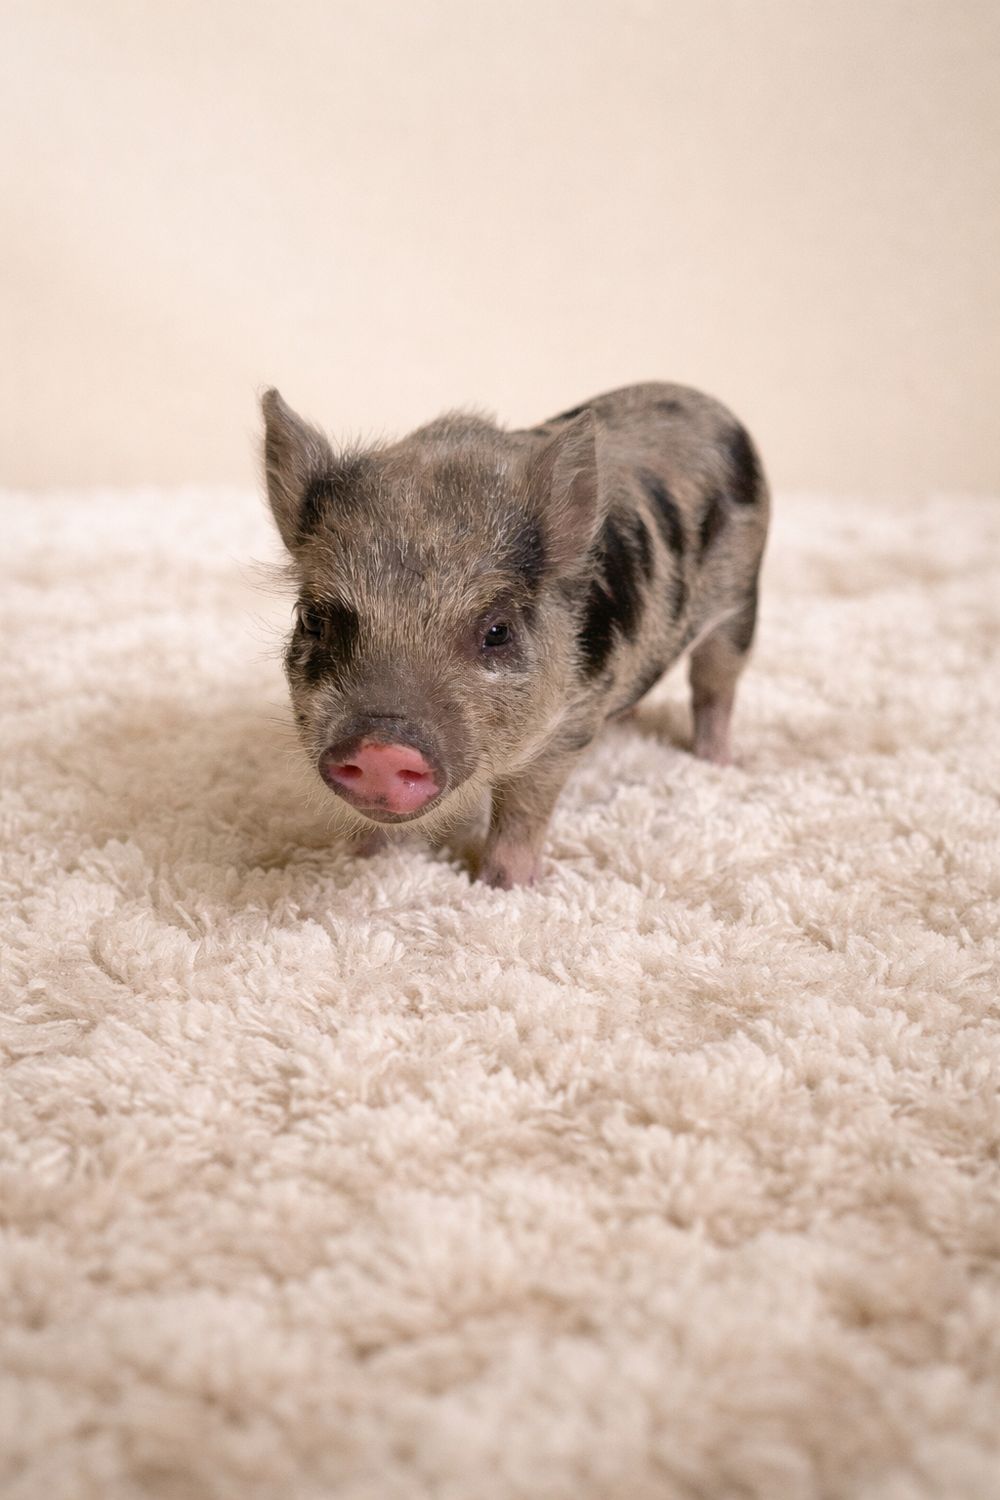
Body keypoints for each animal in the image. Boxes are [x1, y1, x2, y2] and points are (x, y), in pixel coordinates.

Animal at [261, 382, 769, 887]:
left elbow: (523, 809)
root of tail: (706, 402)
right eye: (312, 619)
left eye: (497, 631)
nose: (379, 747)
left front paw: (503, 887)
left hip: (742, 600)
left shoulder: (568, 726)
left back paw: (720, 762)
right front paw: (361, 858)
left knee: (715, 684)